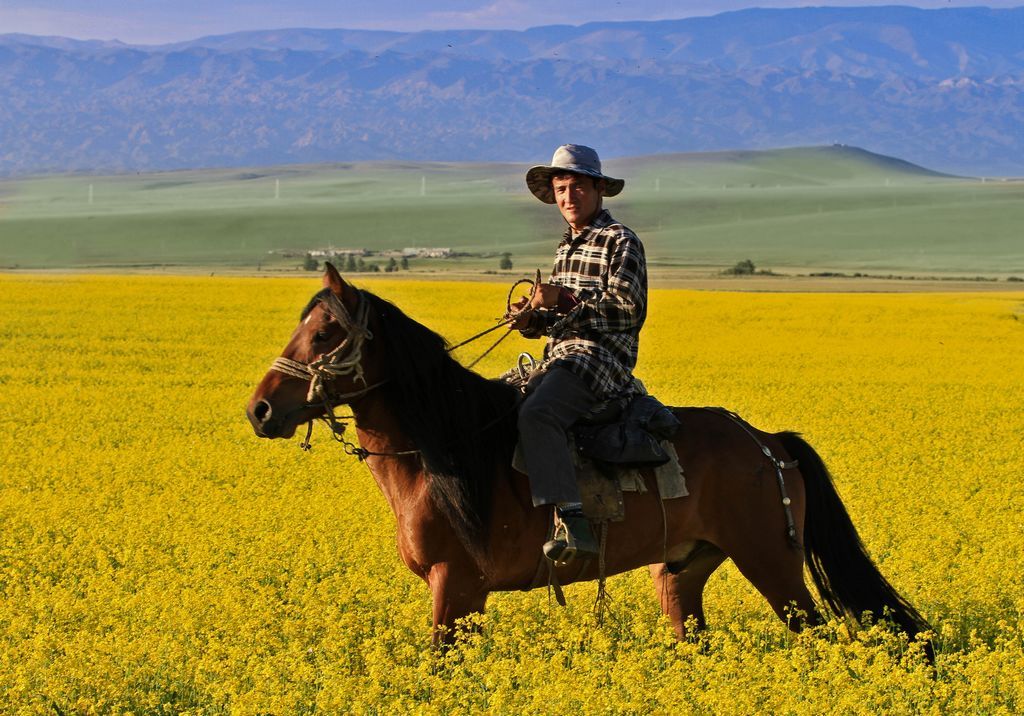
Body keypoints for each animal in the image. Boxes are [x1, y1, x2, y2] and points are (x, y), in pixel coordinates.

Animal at [245, 266, 929, 651]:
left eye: (325, 333)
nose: (260, 410)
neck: (442, 453)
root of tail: (769, 442)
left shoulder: (458, 586)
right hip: (681, 572)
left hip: (772, 563)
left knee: (816, 634)